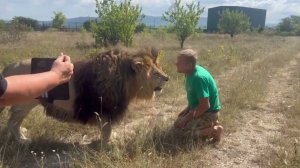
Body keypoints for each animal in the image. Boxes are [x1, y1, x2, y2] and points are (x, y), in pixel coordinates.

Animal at [0, 46, 169, 145]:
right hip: (24, 104)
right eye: (155, 73)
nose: (168, 78)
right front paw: (107, 146)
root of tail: (10, 66)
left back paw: (22, 134)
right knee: (11, 122)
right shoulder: (105, 109)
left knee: (15, 122)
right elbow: (107, 130)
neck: (126, 79)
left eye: (160, 69)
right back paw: (22, 140)